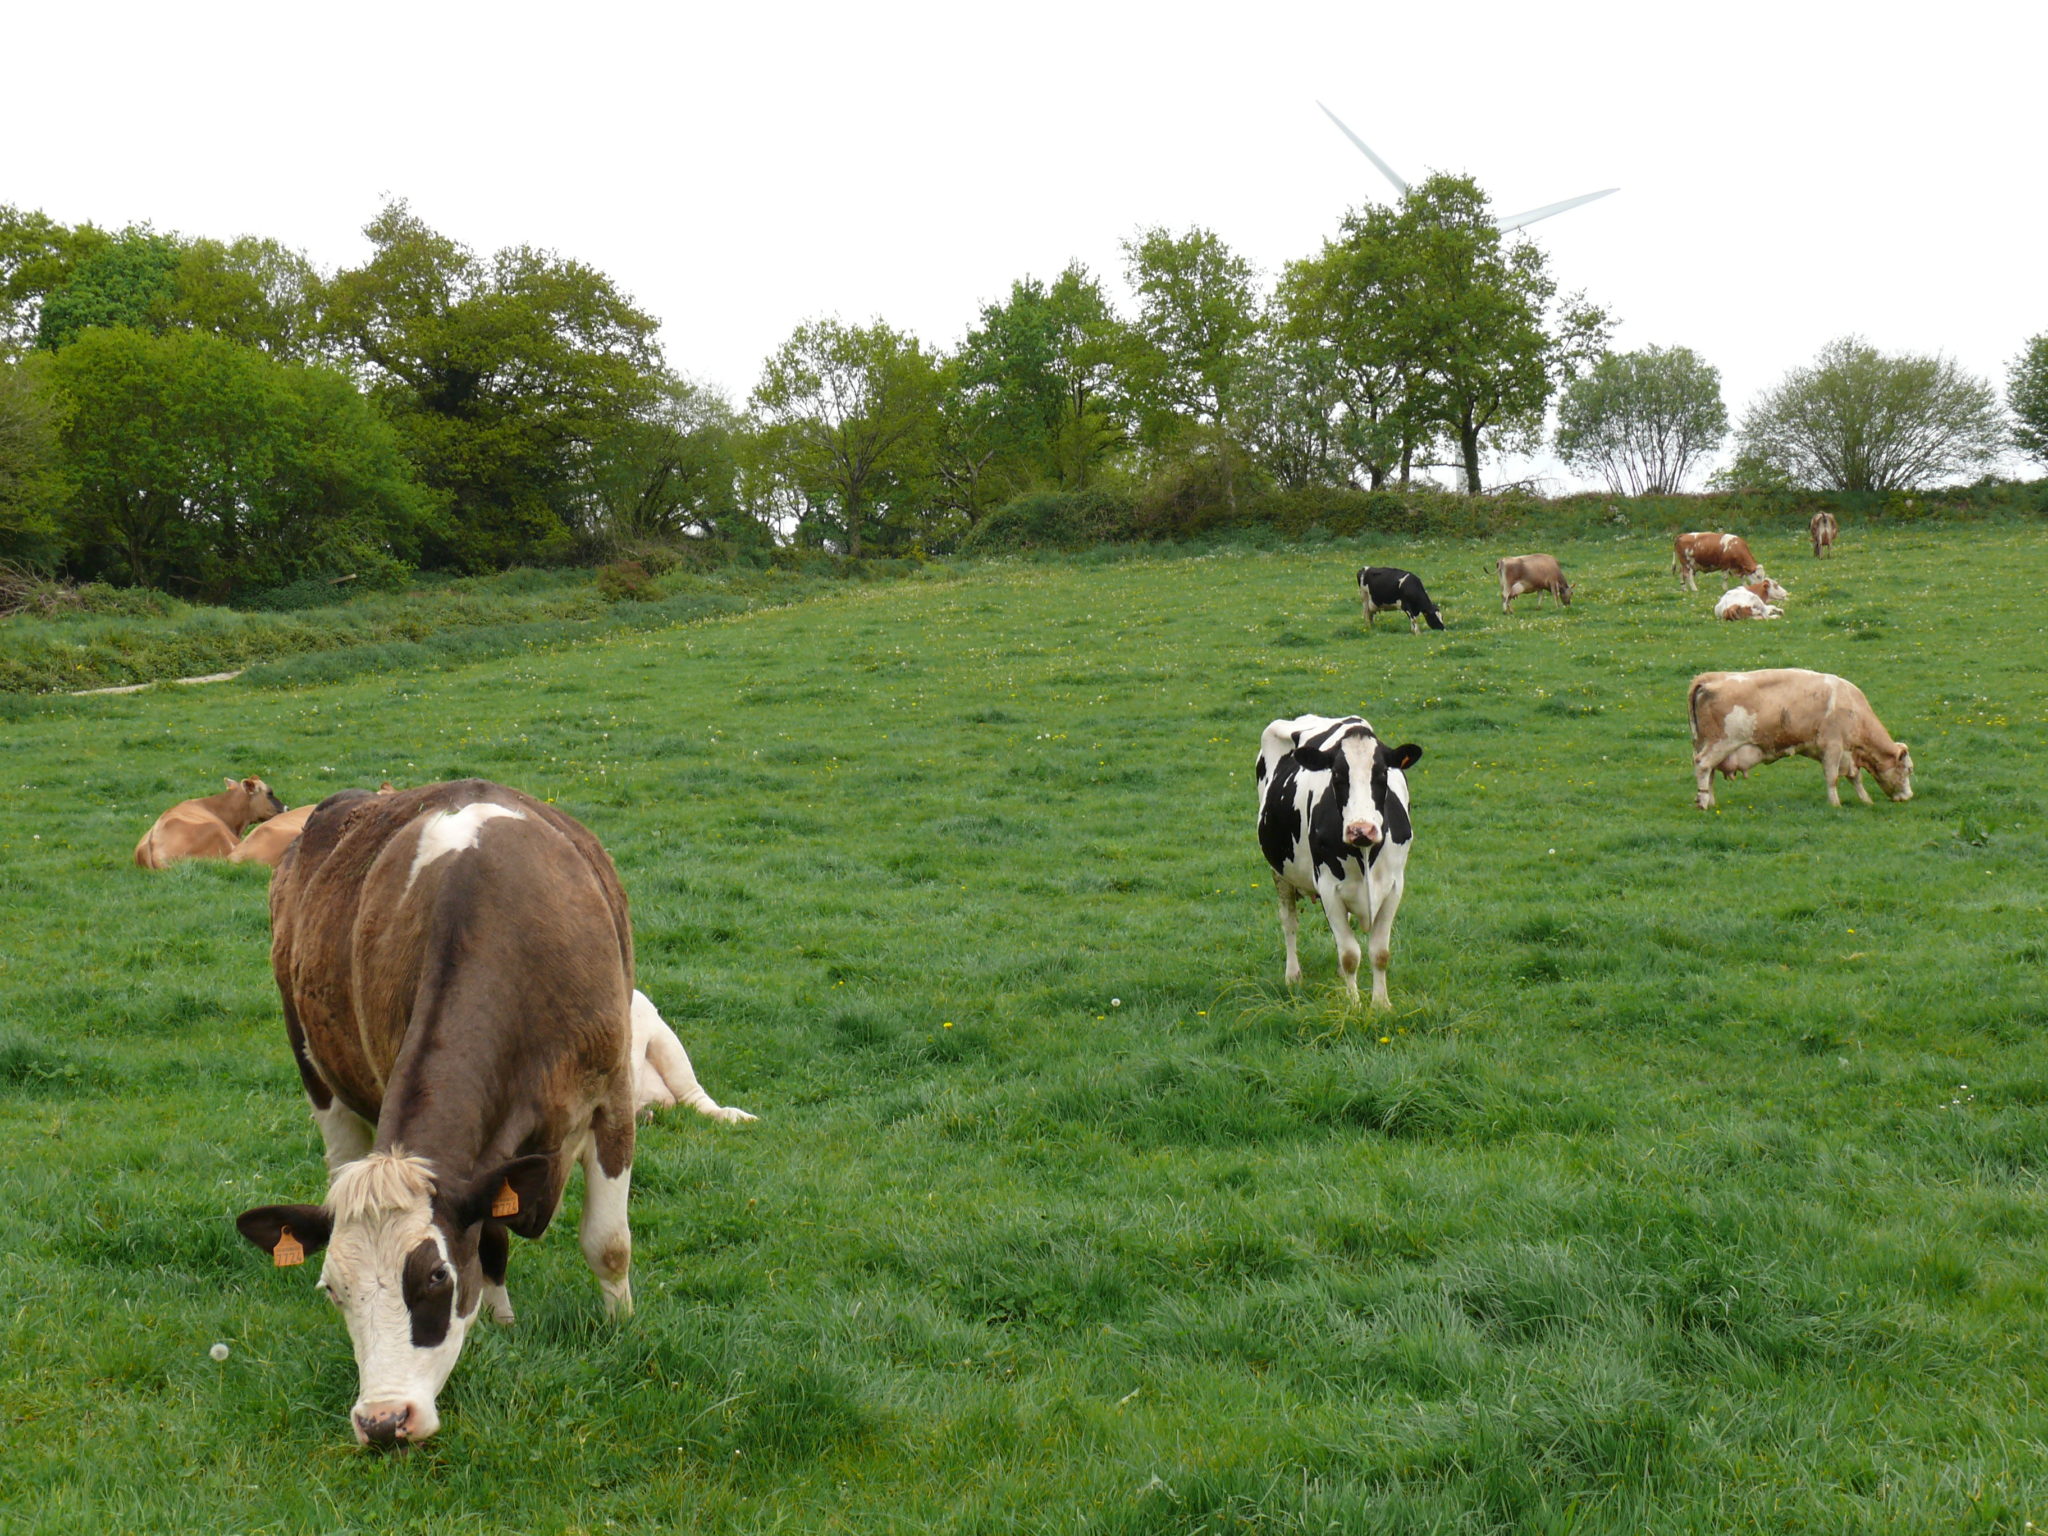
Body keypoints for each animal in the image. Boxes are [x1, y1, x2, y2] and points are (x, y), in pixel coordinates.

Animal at [235, 780, 640, 1446]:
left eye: (434, 1277)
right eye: (332, 1290)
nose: (381, 1420)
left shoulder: (614, 1097)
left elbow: (606, 1243)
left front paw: (619, 1327)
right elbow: (490, 1235)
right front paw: (500, 1326)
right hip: (315, 1069)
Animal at [1255, 714, 1422, 1008]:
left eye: (1382, 774)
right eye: (1336, 775)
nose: (1361, 829)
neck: (1365, 854)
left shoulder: (1394, 886)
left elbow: (1379, 952)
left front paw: (1381, 1005)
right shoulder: (1328, 888)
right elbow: (1350, 955)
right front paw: (1354, 1004)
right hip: (1279, 871)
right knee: (1289, 921)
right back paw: (1293, 976)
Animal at [1689, 669, 1914, 810]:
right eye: (1909, 769)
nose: (1909, 796)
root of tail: (1710, 678)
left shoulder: (1847, 753)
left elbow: (1855, 778)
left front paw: (1866, 801)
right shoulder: (1832, 747)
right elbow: (1832, 777)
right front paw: (1835, 804)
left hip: (1707, 744)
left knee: (1709, 773)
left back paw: (1711, 801)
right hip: (1721, 743)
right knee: (1703, 765)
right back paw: (1703, 802)